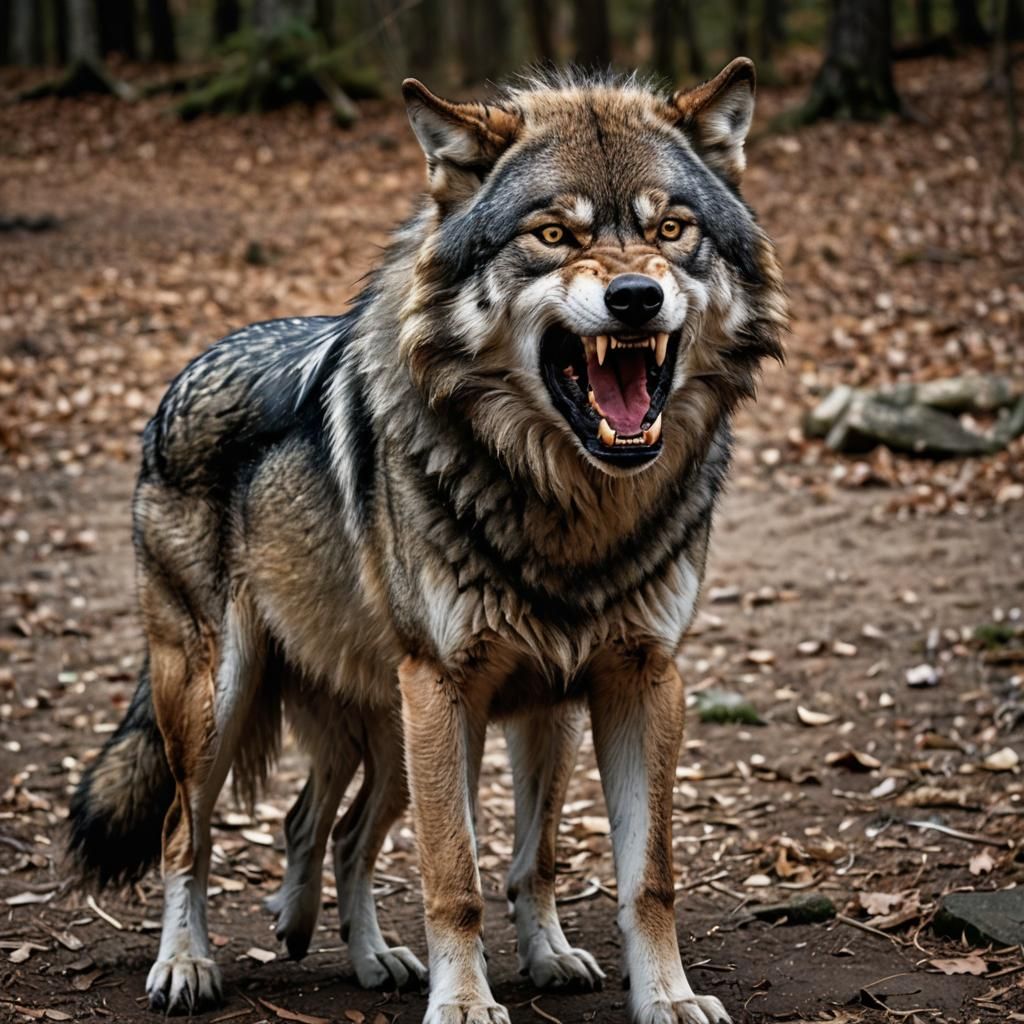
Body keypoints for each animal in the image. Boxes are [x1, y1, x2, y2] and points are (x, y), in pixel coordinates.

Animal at [67, 58, 786, 1024]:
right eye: (552, 234)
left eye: (671, 229)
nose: (635, 297)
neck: (571, 508)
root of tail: (188, 370)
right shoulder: (446, 685)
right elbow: (456, 877)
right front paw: (467, 1002)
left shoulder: (626, 682)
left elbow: (616, 873)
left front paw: (654, 994)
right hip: (226, 694)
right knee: (190, 832)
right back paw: (185, 965)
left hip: (395, 726)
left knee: (326, 830)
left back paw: (363, 953)